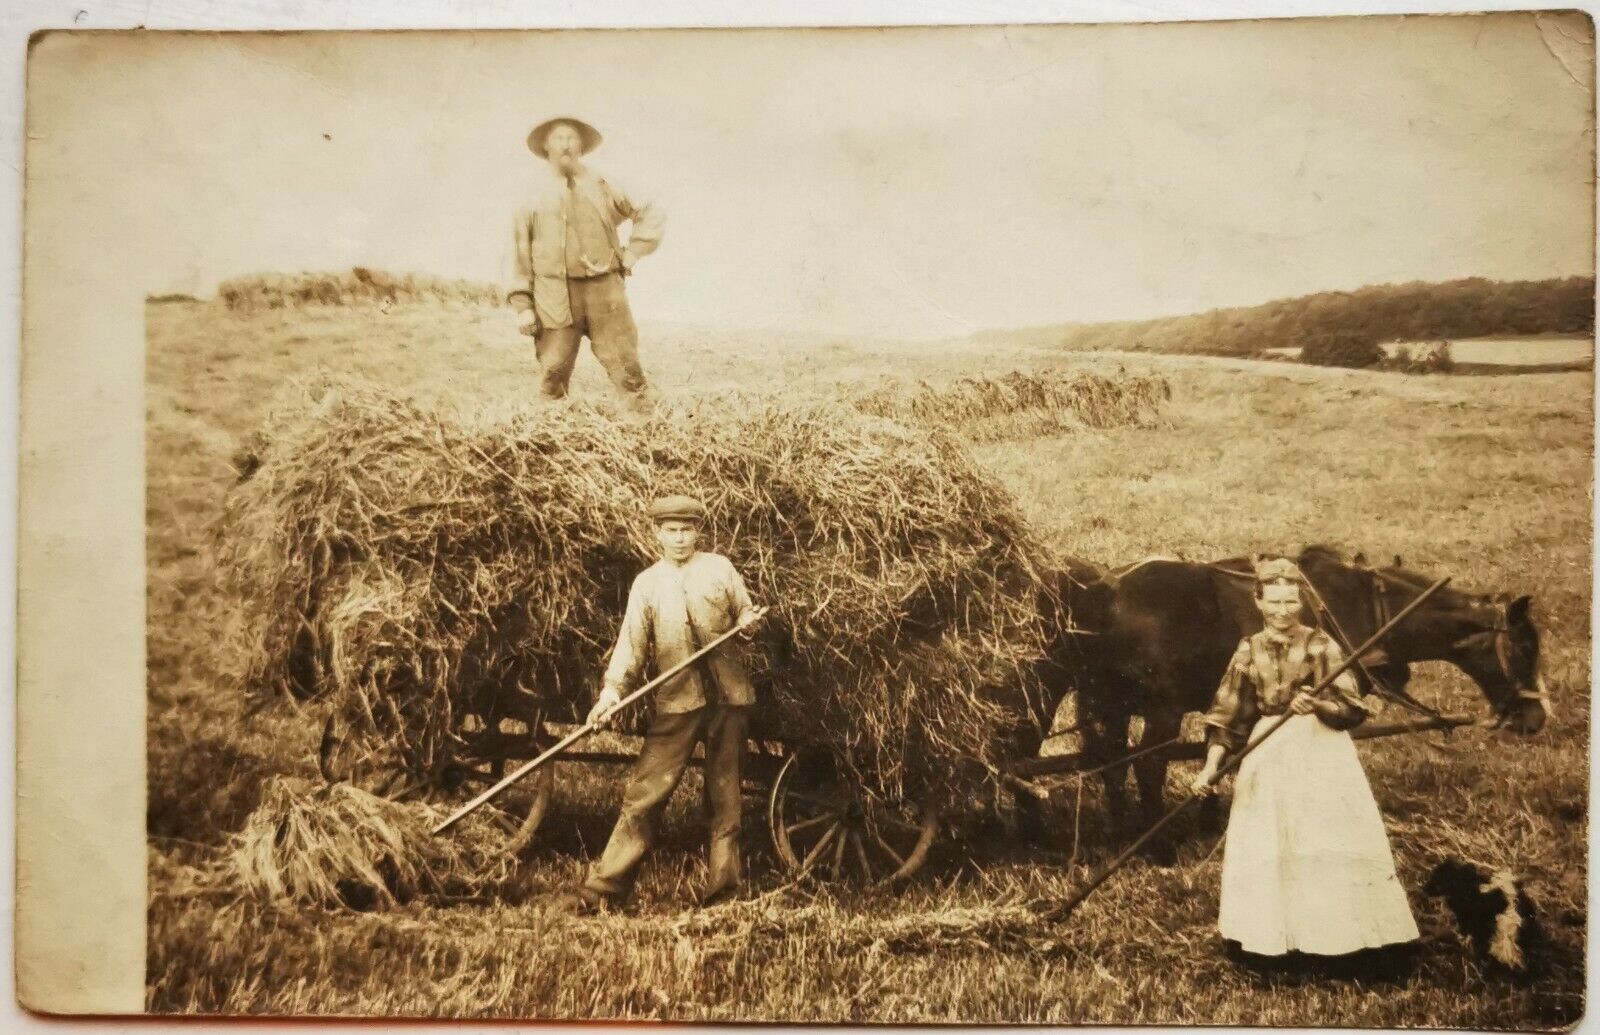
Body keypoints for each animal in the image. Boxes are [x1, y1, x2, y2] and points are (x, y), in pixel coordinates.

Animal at [1043, 543, 1542, 857]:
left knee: (1111, 764)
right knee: (1146, 765)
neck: (1366, 607)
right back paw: (1155, 845)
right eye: (1525, 648)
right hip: (1159, 710)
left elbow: (1229, 750)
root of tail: (1103, 593)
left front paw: (1212, 816)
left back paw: (1121, 831)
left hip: (1108, 704)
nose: (1536, 717)